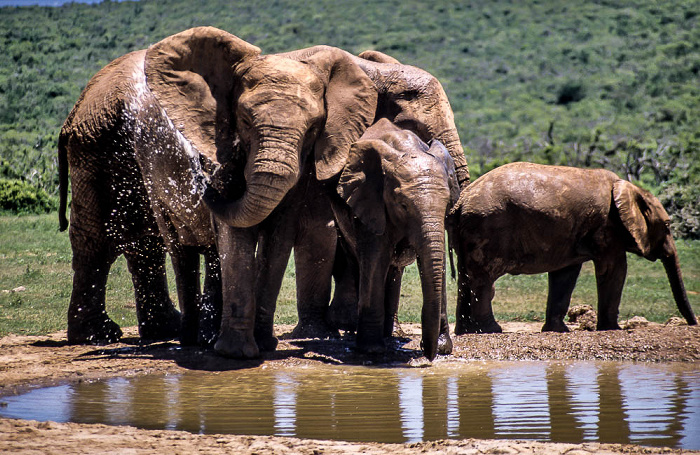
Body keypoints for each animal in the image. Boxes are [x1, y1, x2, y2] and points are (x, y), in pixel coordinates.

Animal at [332, 119, 462, 362]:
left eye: (447, 203)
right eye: (403, 205)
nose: (426, 352)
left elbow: (434, 262)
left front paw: (442, 348)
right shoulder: (371, 202)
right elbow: (375, 259)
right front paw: (371, 350)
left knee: (394, 271)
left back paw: (391, 333)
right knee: (358, 264)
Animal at [452, 162, 696, 334]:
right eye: (667, 225)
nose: (692, 324)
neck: (631, 188)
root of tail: (462, 200)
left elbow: (565, 275)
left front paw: (558, 331)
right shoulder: (606, 227)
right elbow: (615, 270)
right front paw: (613, 329)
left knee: (466, 278)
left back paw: (468, 331)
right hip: (487, 227)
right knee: (484, 280)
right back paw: (492, 330)